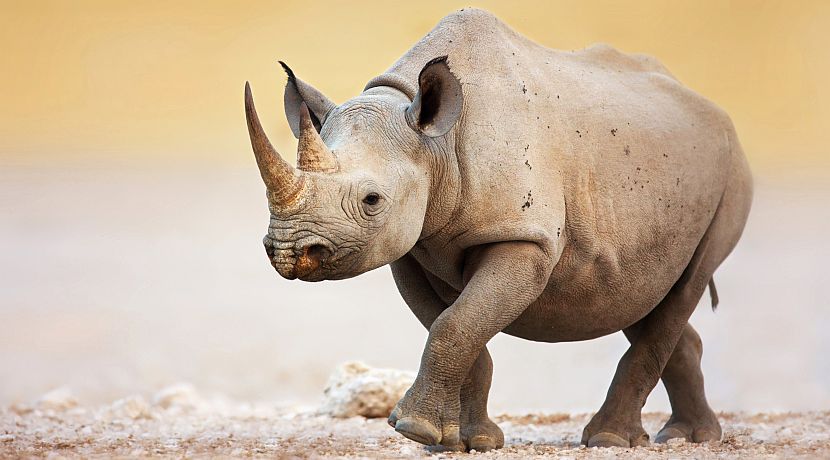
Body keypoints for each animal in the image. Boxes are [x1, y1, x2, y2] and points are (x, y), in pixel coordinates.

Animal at [244, 8, 752, 452]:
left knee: (685, 285)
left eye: (372, 201)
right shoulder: (411, 247)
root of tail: (712, 109)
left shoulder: (525, 237)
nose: (289, 251)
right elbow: (457, 326)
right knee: (642, 295)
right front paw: (462, 442)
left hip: (730, 174)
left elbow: (456, 323)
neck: (434, 144)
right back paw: (689, 436)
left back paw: (611, 439)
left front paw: (412, 429)